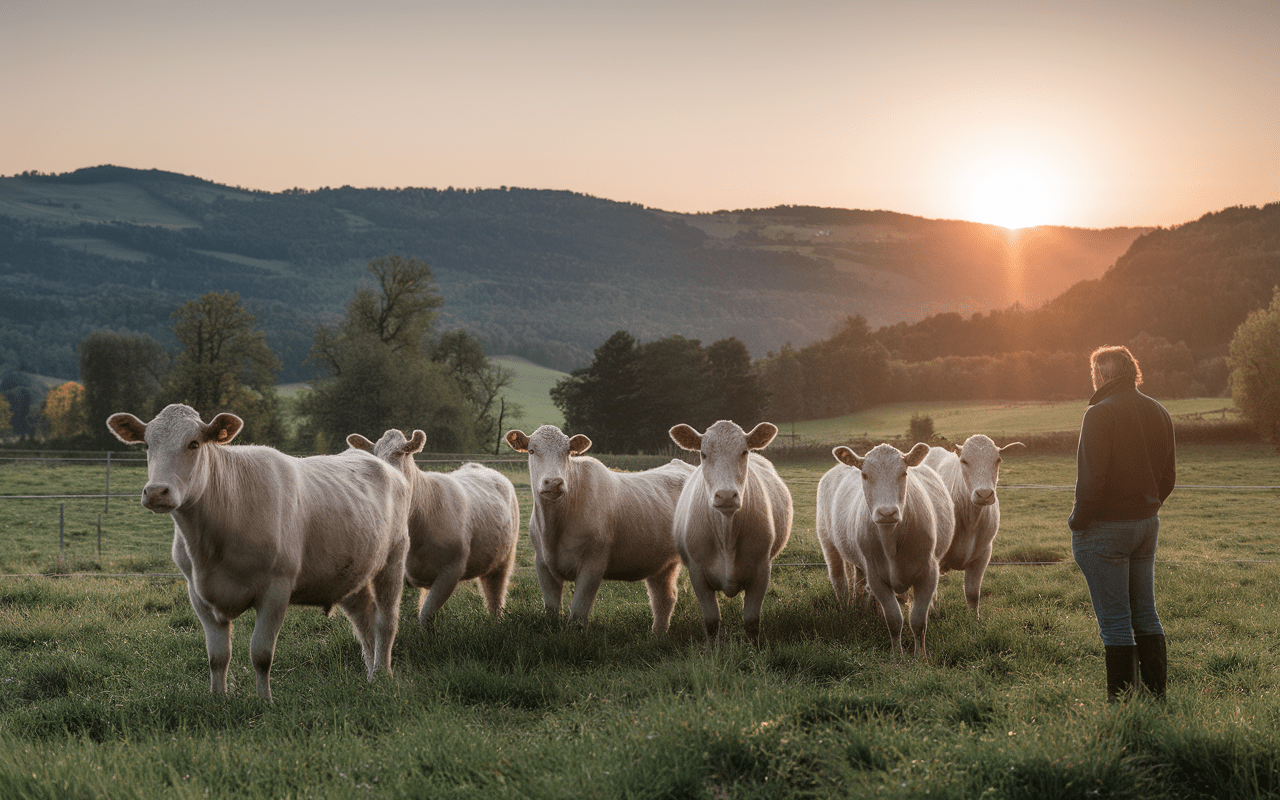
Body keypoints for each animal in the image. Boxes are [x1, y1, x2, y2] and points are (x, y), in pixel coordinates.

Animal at [107, 404, 410, 702]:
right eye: (147, 444)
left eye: (193, 444)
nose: (156, 492)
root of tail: (383, 464)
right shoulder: (197, 593)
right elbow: (217, 656)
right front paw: (218, 700)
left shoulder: (276, 588)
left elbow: (261, 654)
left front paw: (265, 702)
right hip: (350, 569)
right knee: (364, 619)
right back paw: (370, 673)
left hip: (393, 559)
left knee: (385, 621)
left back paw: (383, 674)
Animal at [347, 429, 519, 624]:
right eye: (373, 454)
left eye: (400, 453)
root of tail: (479, 467)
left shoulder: (450, 572)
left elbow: (425, 615)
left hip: (504, 559)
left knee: (495, 593)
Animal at [504, 425, 694, 633]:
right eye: (531, 450)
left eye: (567, 452)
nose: (554, 482)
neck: (552, 529)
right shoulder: (542, 563)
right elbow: (552, 609)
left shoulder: (593, 564)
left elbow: (578, 613)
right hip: (661, 562)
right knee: (663, 598)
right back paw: (657, 635)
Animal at [668, 420, 793, 644]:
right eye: (703, 454)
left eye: (744, 452)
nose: (726, 495)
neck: (726, 535)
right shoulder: (697, 573)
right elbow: (711, 622)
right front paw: (712, 650)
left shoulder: (762, 570)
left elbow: (751, 621)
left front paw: (754, 649)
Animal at [816, 442, 954, 657]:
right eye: (865, 475)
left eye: (903, 473)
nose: (887, 512)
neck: (892, 541)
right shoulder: (877, 577)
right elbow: (894, 619)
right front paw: (897, 656)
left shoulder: (928, 573)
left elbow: (918, 621)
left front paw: (921, 657)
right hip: (828, 541)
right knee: (839, 580)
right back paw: (848, 609)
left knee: (858, 582)